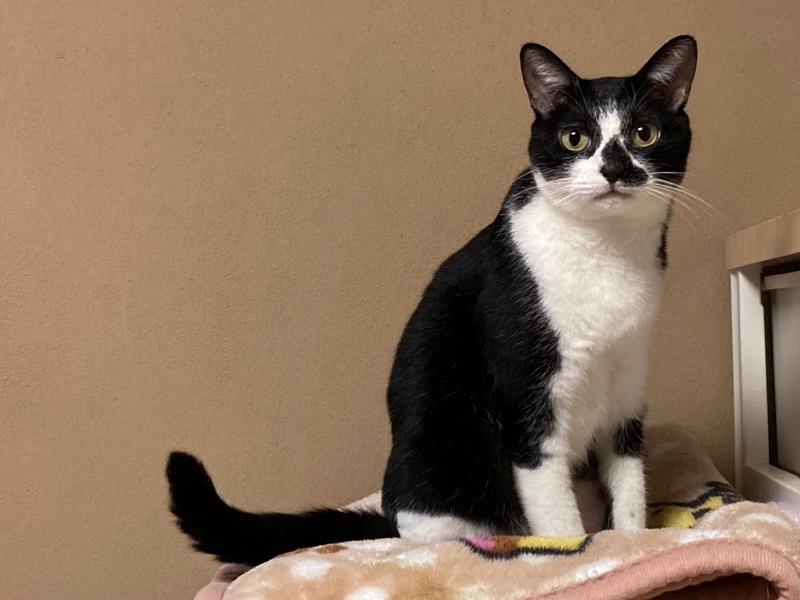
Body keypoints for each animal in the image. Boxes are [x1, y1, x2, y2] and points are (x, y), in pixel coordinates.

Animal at [166, 35, 697, 565]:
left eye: (644, 134)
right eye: (575, 138)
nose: (614, 169)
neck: (606, 252)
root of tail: (391, 517)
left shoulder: (626, 386)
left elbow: (629, 489)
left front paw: (634, 544)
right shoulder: (526, 401)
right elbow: (557, 513)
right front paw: (579, 555)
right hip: (450, 453)